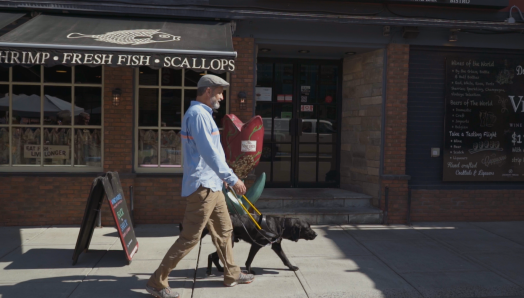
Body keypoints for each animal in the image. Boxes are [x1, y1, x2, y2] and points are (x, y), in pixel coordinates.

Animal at [182, 214, 318, 274]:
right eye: (307, 228)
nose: (316, 234)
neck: (281, 226)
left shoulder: (276, 245)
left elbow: (285, 258)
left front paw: (291, 267)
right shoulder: (256, 244)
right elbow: (249, 259)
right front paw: (249, 271)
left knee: (214, 255)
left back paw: (220, 269)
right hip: (230, 242)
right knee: (212, 255)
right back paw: (211, 271)